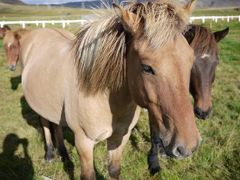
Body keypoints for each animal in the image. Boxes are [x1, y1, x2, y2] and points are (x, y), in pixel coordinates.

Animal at [6, 1, 201, 179]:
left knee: (56, 125)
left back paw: (64, 154)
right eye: (147, 67)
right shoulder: (84, 143)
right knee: (45, 124)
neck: (103, 96)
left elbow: (114, 170)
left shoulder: (119, 138)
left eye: (191, 60)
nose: (188, 146)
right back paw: (49, 154)